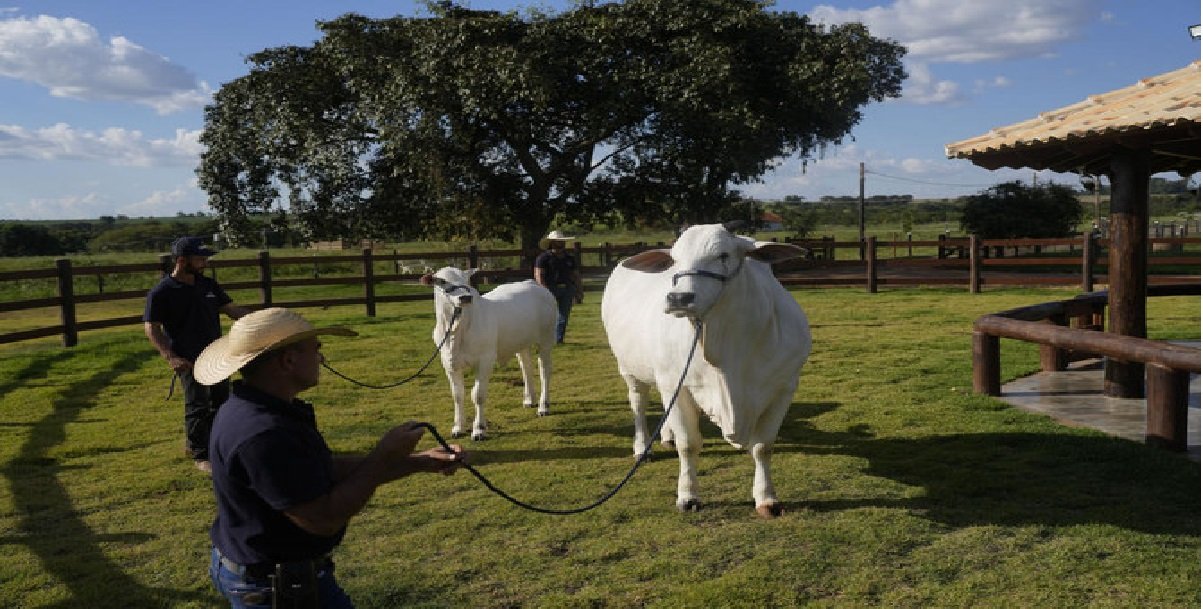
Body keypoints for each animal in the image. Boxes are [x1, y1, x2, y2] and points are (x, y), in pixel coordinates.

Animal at [421, 268, 555, 440]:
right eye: (442, 281)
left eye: (466, 280)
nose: (465, 297)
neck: (456, 331)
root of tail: (534, 284)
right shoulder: (449, 363)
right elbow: (457, 395)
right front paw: (458, 427)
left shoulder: (485, 360)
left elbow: (478, 395)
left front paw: (479, 429)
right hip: (521, 343)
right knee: (526, 367)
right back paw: (529, 399)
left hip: (546, 339)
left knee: (544, 371)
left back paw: (543, 406)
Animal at [599, 223, 808, 517]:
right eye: (674, 260)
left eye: (723, 255)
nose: (679, 297)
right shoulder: (677, 384)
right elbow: (689, 444)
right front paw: (688, 496)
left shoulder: (784, 387)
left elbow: (762, 447)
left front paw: (767, 498)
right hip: (630, 369)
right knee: (639, 405)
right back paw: (642, 448)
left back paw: (666, 436)